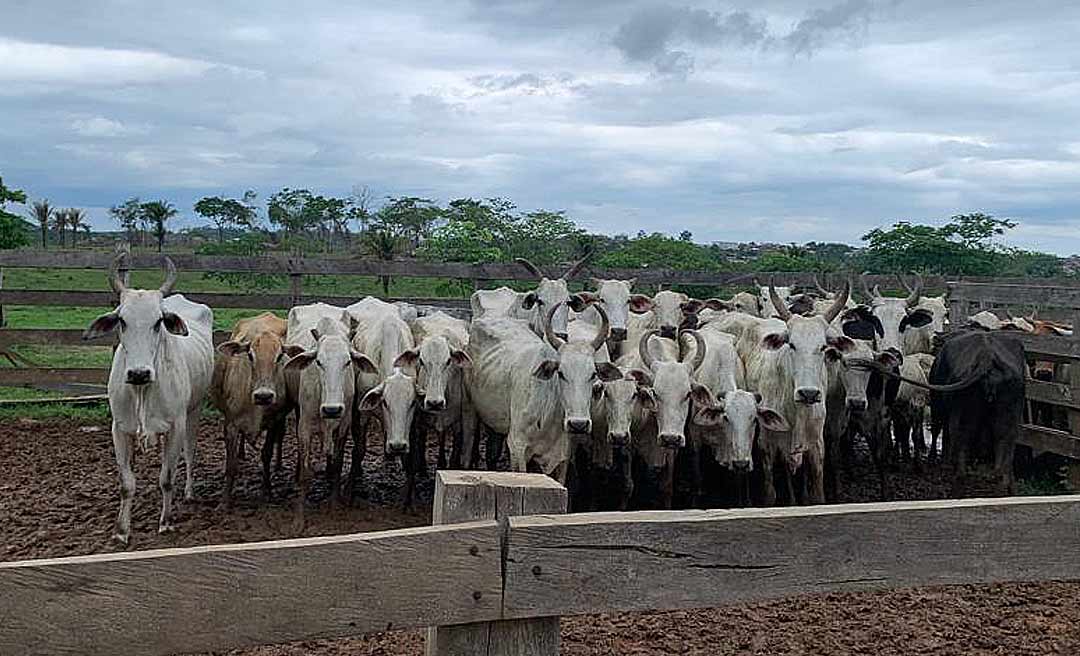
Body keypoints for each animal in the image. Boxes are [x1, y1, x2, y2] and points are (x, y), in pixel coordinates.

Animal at [83, 257, 213, 544]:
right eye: (122, 321)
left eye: (158, 322)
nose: (139, 373)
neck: (143, 391)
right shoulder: (119, 429)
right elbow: (126, 483)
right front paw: (121, 530)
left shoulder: (175, 427)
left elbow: (166, 478)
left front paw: (166, 522)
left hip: (194, 411)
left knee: (190, 452)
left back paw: (188, 492)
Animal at [209, 313, 300, 507]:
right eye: (250, 355)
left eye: (279, 356)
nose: (264, 396)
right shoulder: (231, 424)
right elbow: (231, 464)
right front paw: (225, 500)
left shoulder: (274, 421)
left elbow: (266, 453)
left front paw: (267, 491)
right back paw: (242, 453)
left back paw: (278, 465)